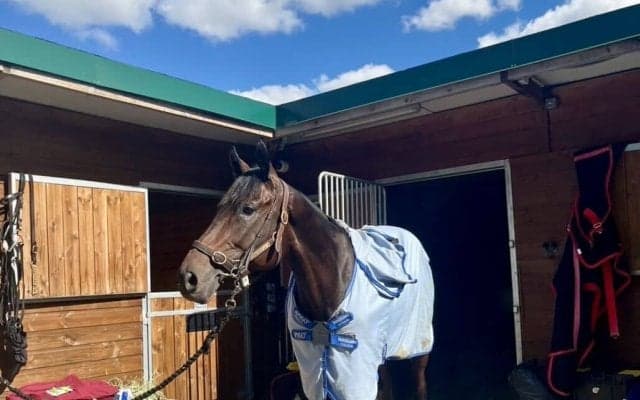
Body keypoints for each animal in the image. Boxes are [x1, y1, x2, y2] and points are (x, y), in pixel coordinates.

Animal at [178, 141, 434, 400]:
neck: (332, 279)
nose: (189, 277)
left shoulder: (354, 374)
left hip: (416, 351)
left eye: (248, 209)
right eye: (220, 207)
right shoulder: (313, 372)